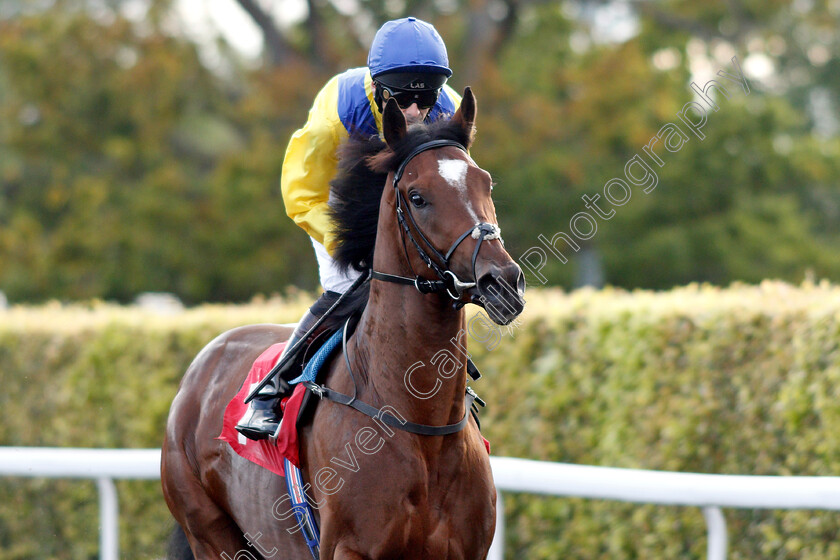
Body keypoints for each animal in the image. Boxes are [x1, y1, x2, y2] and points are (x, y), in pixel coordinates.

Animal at [163, 89, 524, 556]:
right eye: (417, 196)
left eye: (486, 183)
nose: (503, 282)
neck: (419, 422)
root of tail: (200, 367)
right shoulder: (349, 548)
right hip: (208, 531)